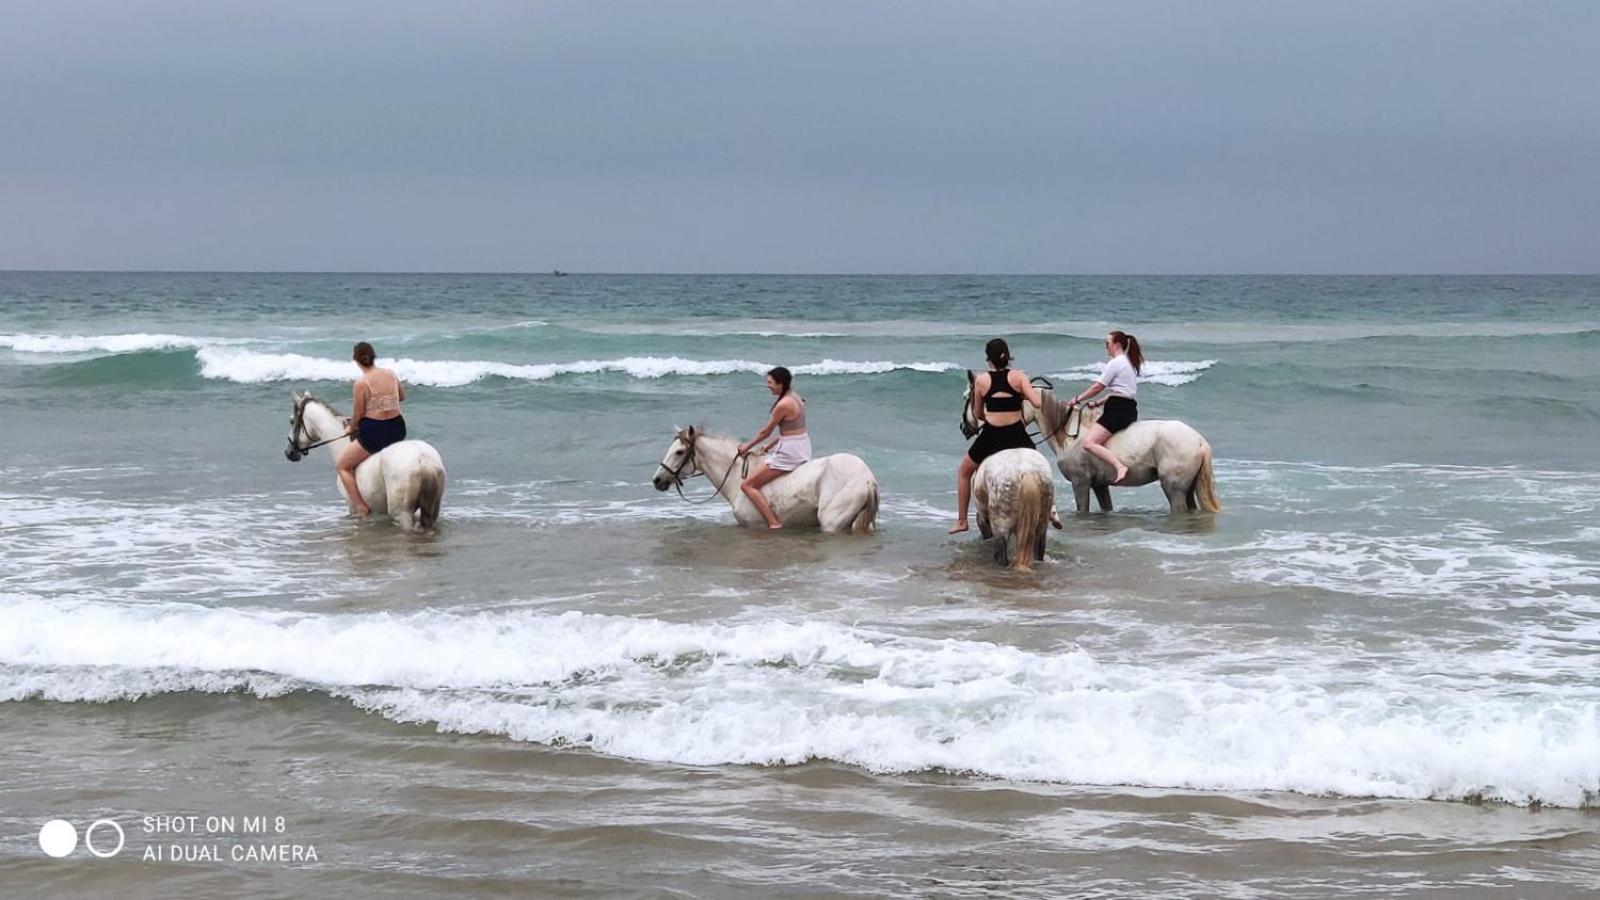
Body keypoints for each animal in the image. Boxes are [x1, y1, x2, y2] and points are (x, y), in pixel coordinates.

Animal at [286, 390, 444, 528]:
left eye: (292, 421)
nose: (289, 452)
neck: (342, 445)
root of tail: (422, 458)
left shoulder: (353, 507)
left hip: (402, 513)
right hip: (431, 510)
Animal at [1024, 385, 1222, 512]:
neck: (1070, 436)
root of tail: (1199, 441)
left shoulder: (1080, 483)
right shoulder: (1099, 485)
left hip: (1174, 489)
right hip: (1189, 488)